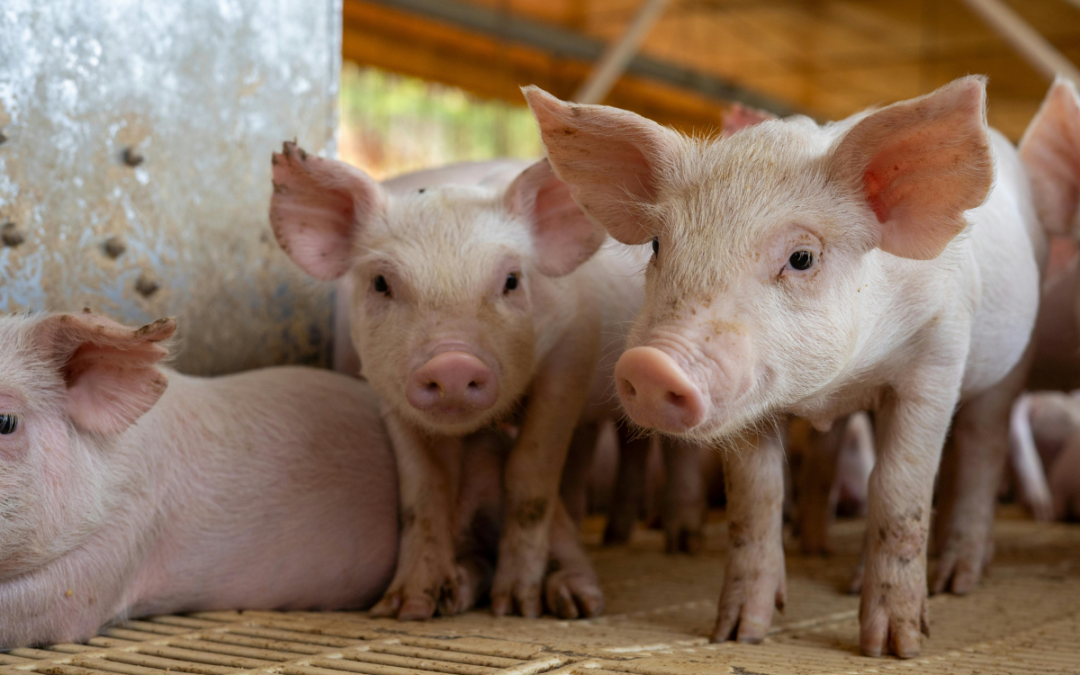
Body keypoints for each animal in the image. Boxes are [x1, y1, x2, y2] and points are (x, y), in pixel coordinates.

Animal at [270, 144, 650, 620]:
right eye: (381, 283)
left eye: (512, 280)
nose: (452, 363)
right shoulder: (386, 391)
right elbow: (423, 490)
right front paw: (405, 607)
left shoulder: (572, 352)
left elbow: (530, 473)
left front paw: (515, 606)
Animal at [525, 76, 1044, 657]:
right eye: (658, 244)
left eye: (801, 258)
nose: (651, 365)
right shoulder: (750, 405)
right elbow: (756, 498)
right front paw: (737, 634)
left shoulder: (938, 354)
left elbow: (899, 489)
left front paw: (893, 648)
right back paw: (822, 553)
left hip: (1011, 365)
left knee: (982, 448)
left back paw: (957, 579)